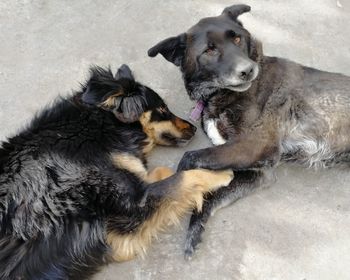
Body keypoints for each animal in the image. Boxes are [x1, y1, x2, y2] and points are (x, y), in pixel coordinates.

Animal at [0, 64, 235, 278]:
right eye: (161, 110)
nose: (194, 128)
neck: (99, 127)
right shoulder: (132, 204)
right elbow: (184, 177)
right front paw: (222, 175)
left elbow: (161, 172)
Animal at [149, 3, 350, 258]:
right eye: (209, 50)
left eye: (237, 38)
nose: (247, 70)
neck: (218, 96)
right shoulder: (259, 170)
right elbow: (214, 195)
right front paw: (195, 229)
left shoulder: (256, 145)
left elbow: (188, 159)